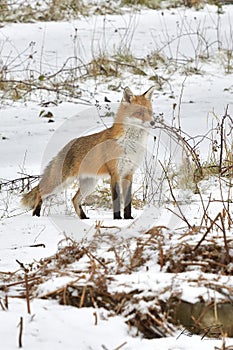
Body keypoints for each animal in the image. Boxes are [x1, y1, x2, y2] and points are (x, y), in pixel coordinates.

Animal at [21, 87, 155, 219]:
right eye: (139, 113)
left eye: (150, 112)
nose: (153, 123)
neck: (130, 144)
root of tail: (66, 146)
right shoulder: (115, 173)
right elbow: (117, 200)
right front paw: (117, 220)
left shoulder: (128, 172)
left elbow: (127, 202)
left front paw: (128, 219)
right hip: (61, 182)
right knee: (40, 192)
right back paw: (36, 215)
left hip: (89, 184)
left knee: (74, 199)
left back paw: (84, 218)